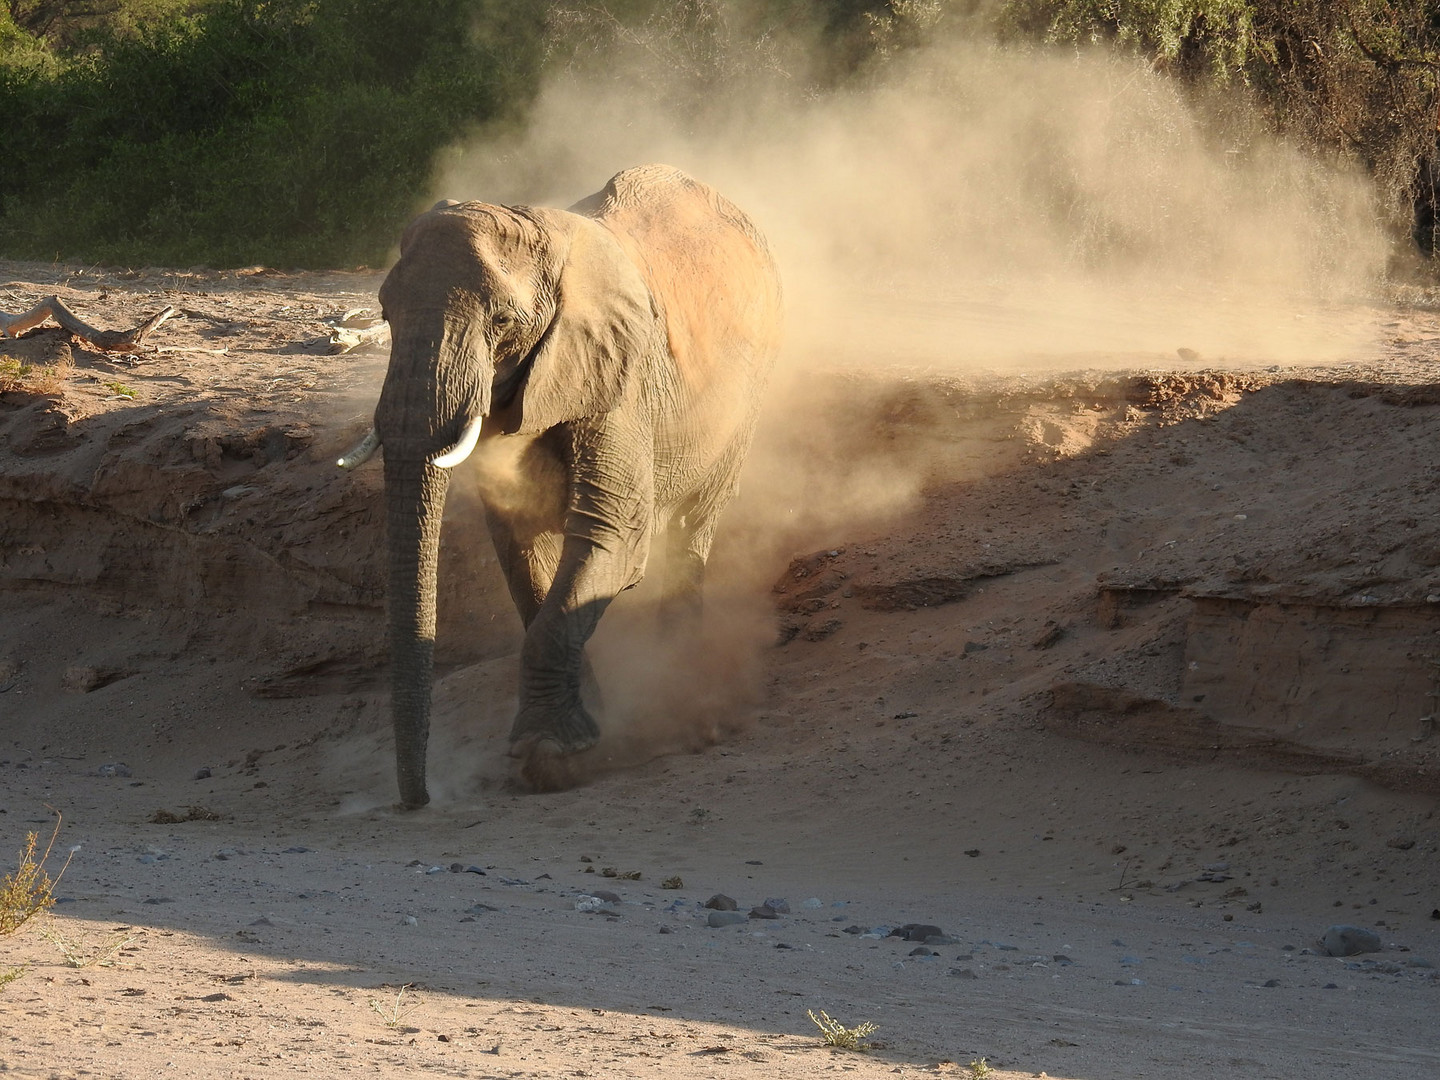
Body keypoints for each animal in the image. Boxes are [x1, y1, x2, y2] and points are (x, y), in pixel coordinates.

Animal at [339, 164, 789, 806]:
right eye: (384, 316)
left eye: (502, 322)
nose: (416, 801)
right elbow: (523, 548)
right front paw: (584, 732)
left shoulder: (620, 377)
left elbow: (613, 536)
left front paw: (547, 756)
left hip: (746, 397)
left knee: (692, 526)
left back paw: (684, 686)